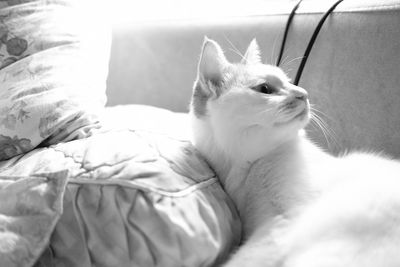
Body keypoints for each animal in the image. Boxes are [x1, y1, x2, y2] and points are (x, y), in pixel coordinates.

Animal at [189, 37, 400, 267]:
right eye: (265, 88)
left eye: (289, 81)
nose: (303, 94)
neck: (248, 165)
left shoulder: (283, 222)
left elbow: (242, 260)